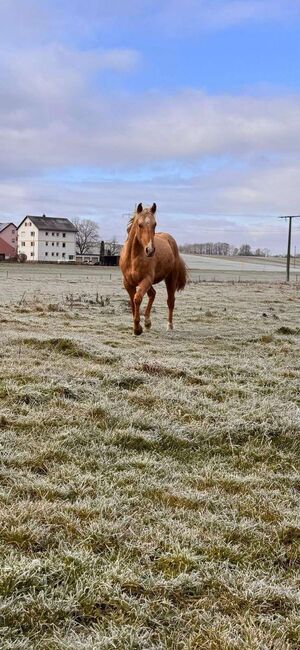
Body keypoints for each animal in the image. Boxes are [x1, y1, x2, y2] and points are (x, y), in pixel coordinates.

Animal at [119, 202, 185, 334]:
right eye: (140, 225)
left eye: (155, 224)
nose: (150, 250)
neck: (133, 258)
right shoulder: (128, 283)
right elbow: (132, 302)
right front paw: (138, 326)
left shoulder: (146, 279)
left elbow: (137, 299)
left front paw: (137, 328)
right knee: (152, 294)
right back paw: (148, 322)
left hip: (170, 279)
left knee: (170, 301)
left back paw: (169, 325)